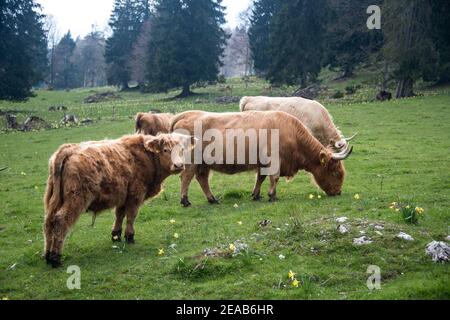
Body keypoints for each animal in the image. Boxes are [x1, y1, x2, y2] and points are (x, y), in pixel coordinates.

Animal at [42, 132, 195, 268]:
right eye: (165, 150)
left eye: (182, 150)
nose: (179, 165)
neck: (148, 158)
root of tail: (68, 149)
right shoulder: (135, 195)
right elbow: (131, 216)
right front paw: (130, 236)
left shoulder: (123, 197)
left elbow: (120, 215)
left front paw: (116, 235)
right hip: (76, 198)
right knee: (61, 221)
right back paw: (56, 258)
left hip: (54, 200)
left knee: (48, 223)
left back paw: (48, 255)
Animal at [171, 109, 354, 206]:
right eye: (336, 172)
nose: (338, 192)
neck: (292, 134)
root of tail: (186, 115)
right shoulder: (274, 161)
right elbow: (274, 178)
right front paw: (272, 195)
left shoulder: (263, 163)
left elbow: (261, 178)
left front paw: (256, 195)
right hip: (192, 161)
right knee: (186, 177)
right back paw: (185, 200)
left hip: (203, 164)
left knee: (202, 178)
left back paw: (212, 199)